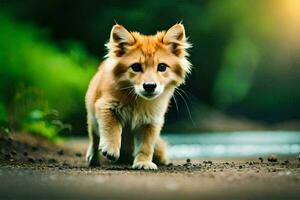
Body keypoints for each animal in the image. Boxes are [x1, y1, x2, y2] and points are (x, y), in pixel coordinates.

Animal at [85, 23, 191, 170]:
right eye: (136, 67)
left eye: (162, 67)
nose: (150, 86)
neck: (138, 101)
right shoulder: (106, 105)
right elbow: (111, 127)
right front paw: (111, 148)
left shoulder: (151, 121)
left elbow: (145, 145)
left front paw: (143, 162)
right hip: (93, 119)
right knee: (94, 138)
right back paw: (93, 157)